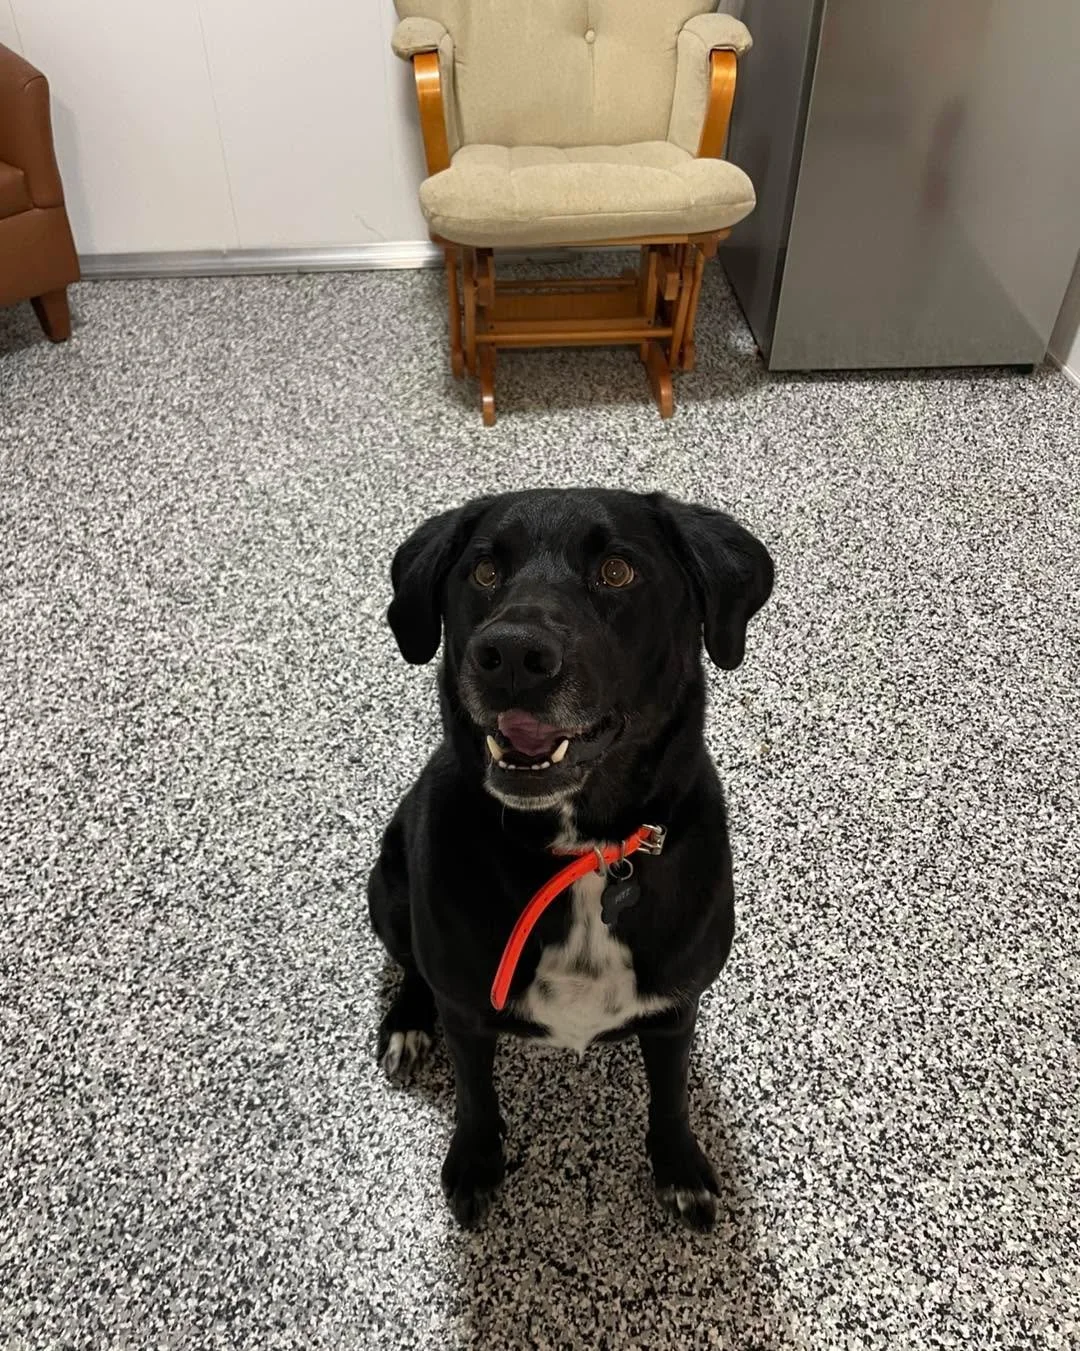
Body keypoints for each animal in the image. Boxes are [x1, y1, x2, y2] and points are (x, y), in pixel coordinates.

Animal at [368, 488, 773, 1229]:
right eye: (483, 572)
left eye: (617, 571)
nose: (511, 654)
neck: (581, 851)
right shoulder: (467, 1012)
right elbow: (476, 1096)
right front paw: (475, 1162)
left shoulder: (676, 1009)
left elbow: (671, 1094)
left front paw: (680, 1166)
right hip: (387, 885)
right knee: (411, 963)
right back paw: (408, 1022)